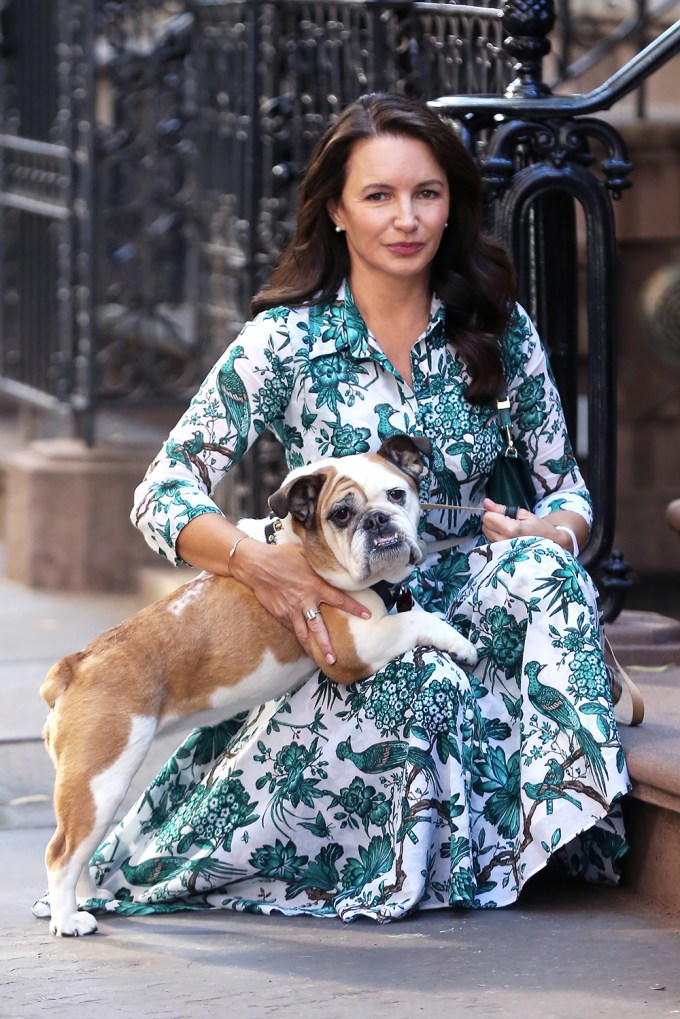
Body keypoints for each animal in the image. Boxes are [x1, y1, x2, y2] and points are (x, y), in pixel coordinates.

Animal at [34, 434, 477, 933]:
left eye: (397, 495)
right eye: (341, 515)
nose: (377, 519)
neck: (310, 549)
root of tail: (75, 666)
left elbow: (412, 611)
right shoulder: (352, 648)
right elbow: (418, 619)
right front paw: (460, 642)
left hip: (93, 784)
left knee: (79, 847)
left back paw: (89, 899)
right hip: (101, 777)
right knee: (61, 853)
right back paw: (68, 919)